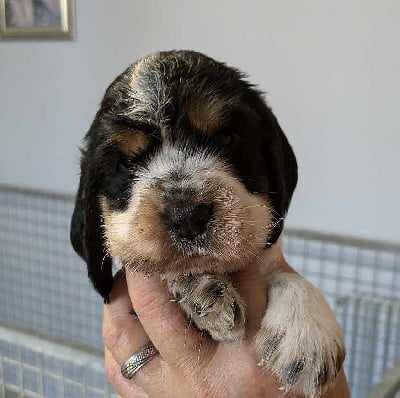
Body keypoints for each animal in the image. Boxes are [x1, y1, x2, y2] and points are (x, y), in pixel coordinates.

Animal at [70, 51, 346, 396]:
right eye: (127, 163)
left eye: (226, 138)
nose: (187, 216)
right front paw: (202, 290)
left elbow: (286, 275)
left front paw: (307, 335)